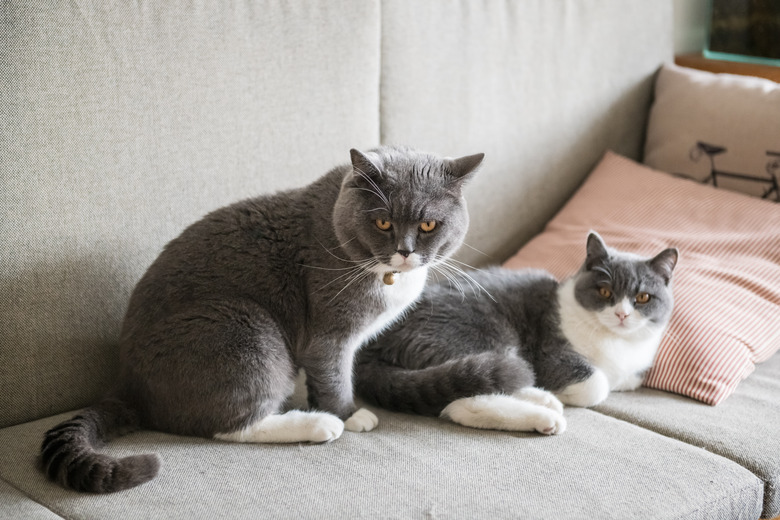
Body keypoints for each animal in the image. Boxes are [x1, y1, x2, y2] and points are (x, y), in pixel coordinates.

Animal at [42, 145, 484, 492]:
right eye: (383, 222)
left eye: (428, 224)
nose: (405, 251)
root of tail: (126, 384)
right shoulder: (329, 332)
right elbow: (334, 374)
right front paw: (348, 414)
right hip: (243, 328)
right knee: (227, 424)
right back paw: (319, 425)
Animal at [354, 232, 676, 434]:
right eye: (605, 291)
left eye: (643, 297)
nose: (622, 314)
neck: (616, 343)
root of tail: (374, 344)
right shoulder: (551, 352)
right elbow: (597, 386)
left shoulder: (634, 374)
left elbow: (625, 380)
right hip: (483, 332)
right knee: (467, 399)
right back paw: (545, 412)